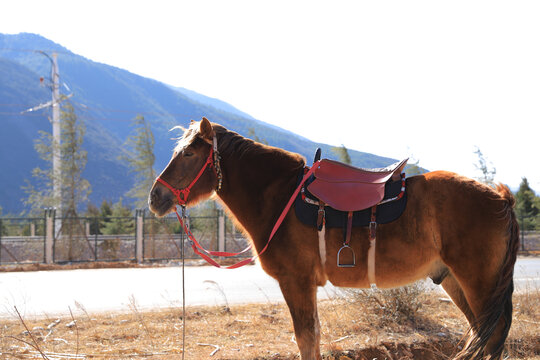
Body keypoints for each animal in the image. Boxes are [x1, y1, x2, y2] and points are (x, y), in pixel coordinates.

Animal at [148, 118, 520, 360]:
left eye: (188, 154)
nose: (155, 197)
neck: (280, 196)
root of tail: (501, 198)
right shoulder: (303, 285)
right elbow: (312, 337)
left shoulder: (295, 282)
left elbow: (306, 339)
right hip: (455, 281)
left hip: (479, 282)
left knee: (492, 335)